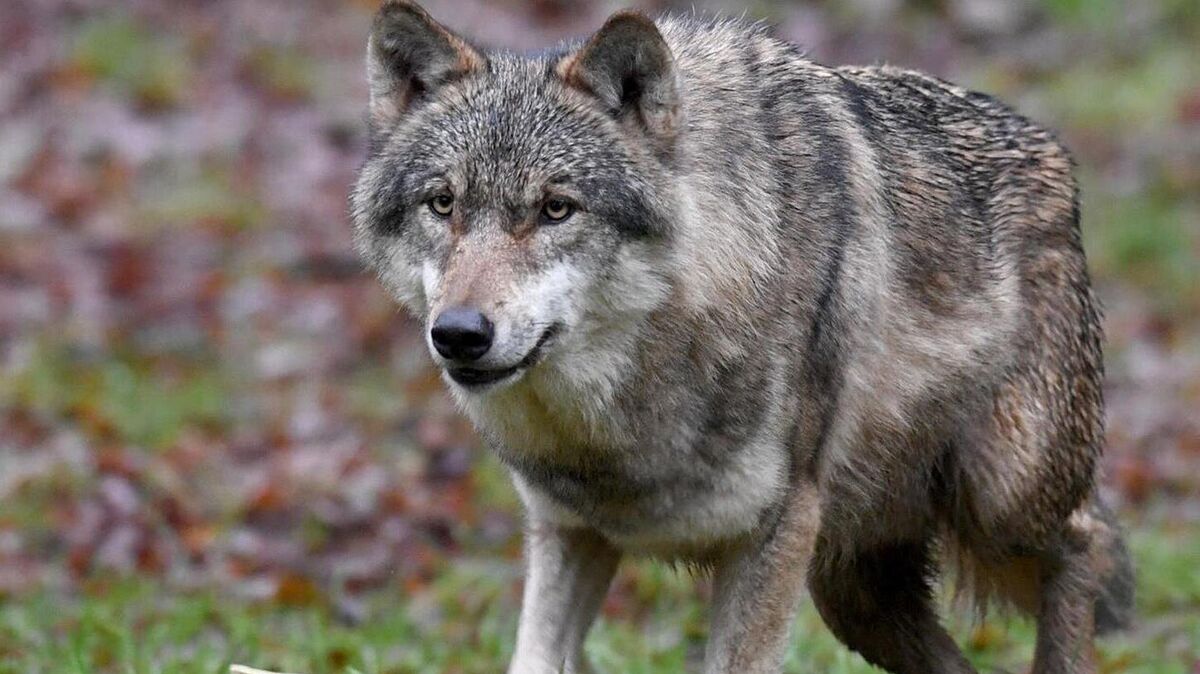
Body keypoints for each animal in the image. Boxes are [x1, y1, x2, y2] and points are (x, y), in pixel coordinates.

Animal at [351, 2, 1134, 672]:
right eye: (442, 203)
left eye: (555, 209)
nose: (459, 334)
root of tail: (1053, 151)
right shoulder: (568, 530)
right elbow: (533, 658)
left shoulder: (772, 536)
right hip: (853, 595)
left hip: (1001, 499)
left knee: (1088, 542)